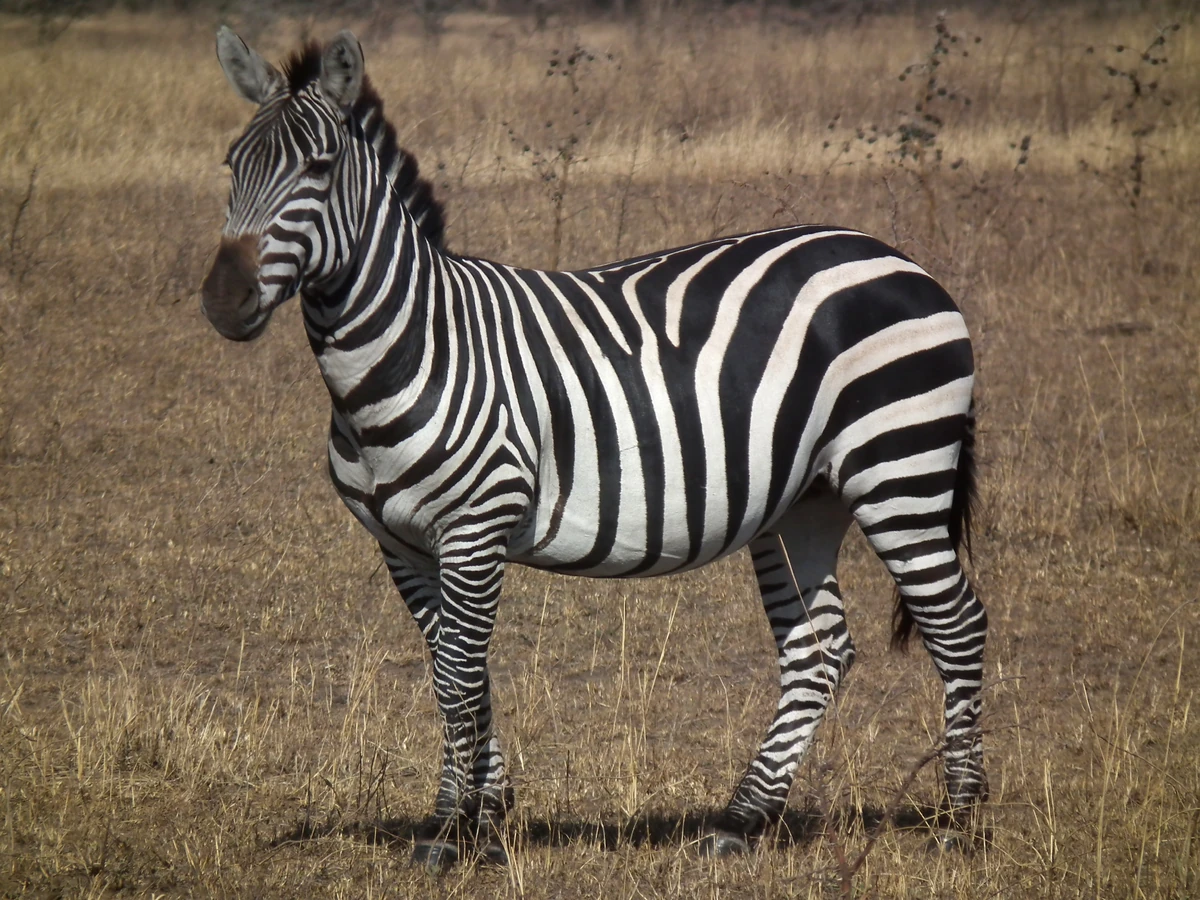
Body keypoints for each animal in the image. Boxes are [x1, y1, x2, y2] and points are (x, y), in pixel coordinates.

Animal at [202, 28, 989, 870]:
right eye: (232, 164)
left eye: (318, 168)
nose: (223, 300)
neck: (413, 347)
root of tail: (898, 259)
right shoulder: (402, 543)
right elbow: (457, 668)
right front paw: (489, 817)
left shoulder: (476, 524)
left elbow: (457, 675)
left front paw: (447, 832)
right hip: (806, 500)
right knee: (818, 650)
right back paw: (743, 819)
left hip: (898, 468)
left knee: (957, 625)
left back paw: (964, 819)